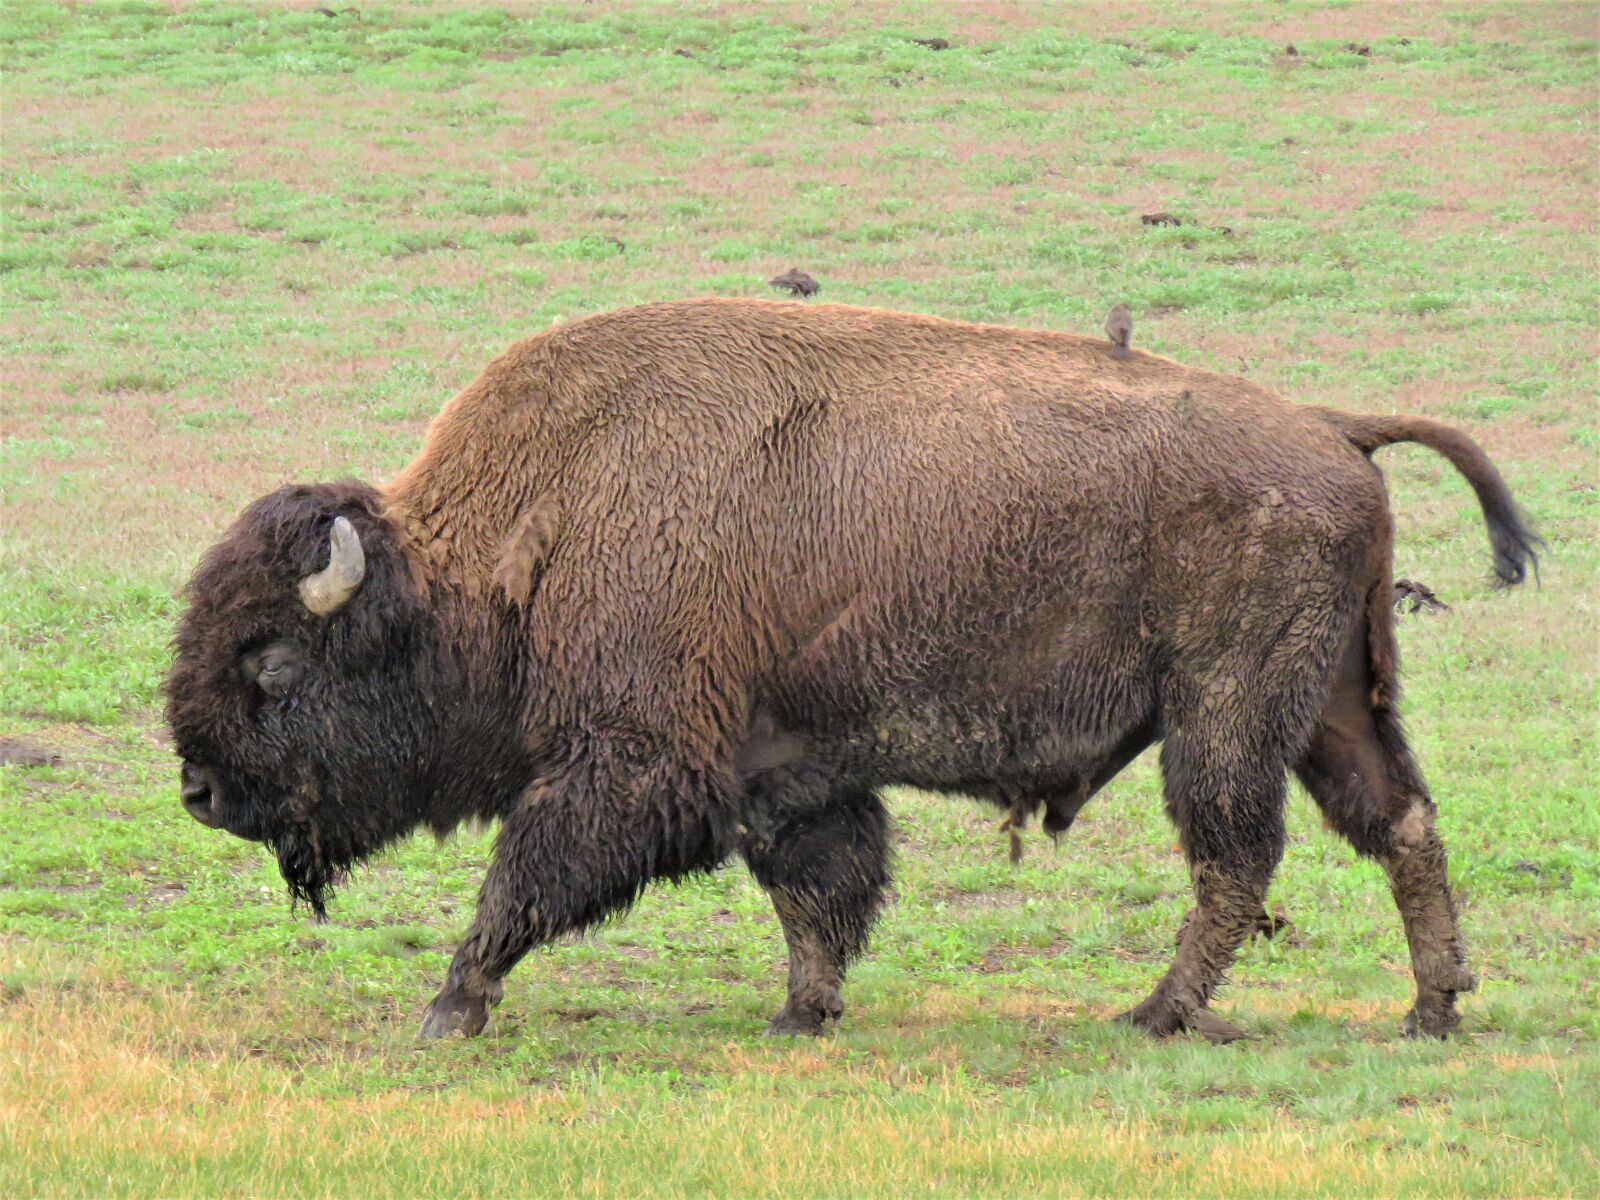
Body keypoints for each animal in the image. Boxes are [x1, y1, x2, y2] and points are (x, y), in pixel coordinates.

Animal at [165, 299, 1538, 1042]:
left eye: (274, 662)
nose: (200, 792)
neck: (520, 540)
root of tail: (1333, 429)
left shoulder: (631, 761)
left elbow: (527, 879)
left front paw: (449, 1008)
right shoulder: (785, 765)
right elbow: (816, 886)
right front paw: (801, 1012)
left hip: (1225, 714)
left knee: (1236, 857)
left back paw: (1156, 1013)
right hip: (1334, 702)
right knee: (1400, 824)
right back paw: (1431, 1009)